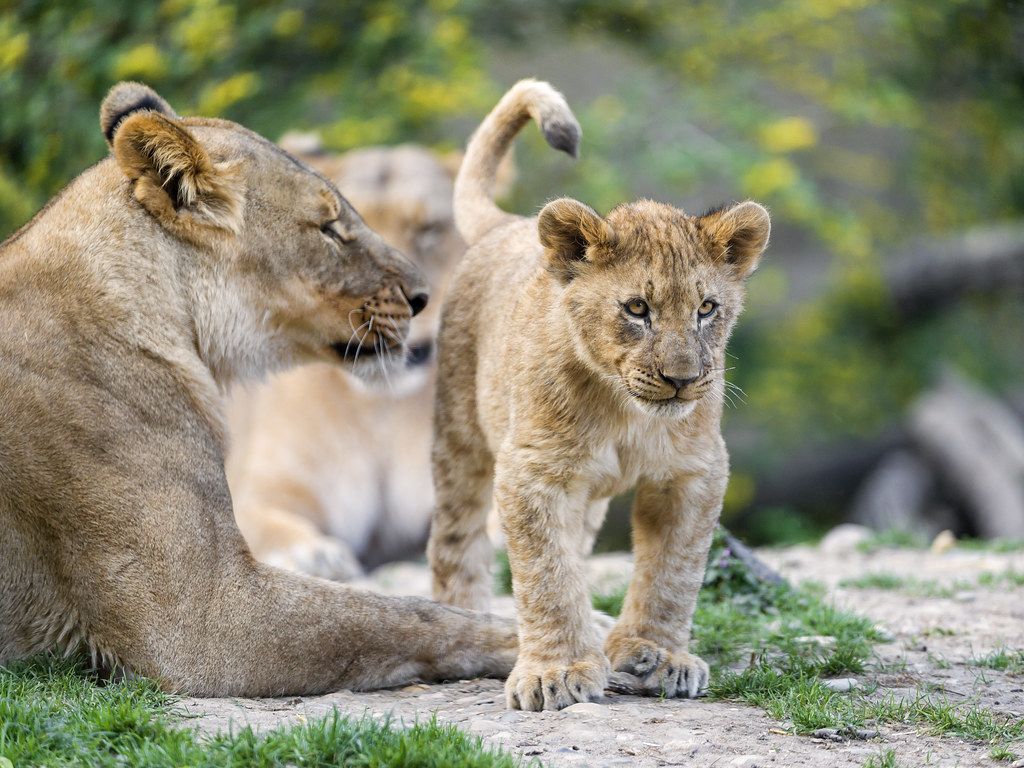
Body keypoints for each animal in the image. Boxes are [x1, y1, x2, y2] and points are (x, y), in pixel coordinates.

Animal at [224, 137, 466, 580]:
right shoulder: (266, 490)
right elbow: (268, 526)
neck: (381, 412)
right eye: (337, 234)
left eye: (429, 229)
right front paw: (315, 556)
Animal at [427, 80, 770, 711]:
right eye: (637, 309)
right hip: (460, 436)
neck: (626, 412)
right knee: (455, 540)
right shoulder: (532, 471)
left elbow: (673, 573)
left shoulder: (694, 472)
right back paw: (465, 618)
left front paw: (656, 653)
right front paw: (555, 671)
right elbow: (546, 575)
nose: (683, 378)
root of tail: (508, 224)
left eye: (707, 308)